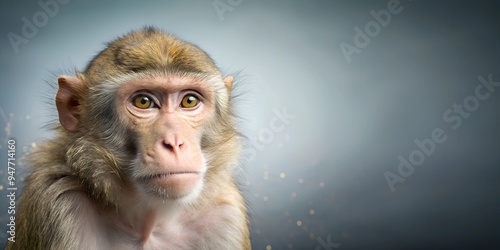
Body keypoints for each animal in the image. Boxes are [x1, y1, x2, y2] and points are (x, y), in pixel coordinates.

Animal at [6, 26, 252, 249]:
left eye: (189, 101)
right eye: (143, 102)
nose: (174, 143)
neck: (149, 226)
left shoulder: (226, 215)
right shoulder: (57, 204)